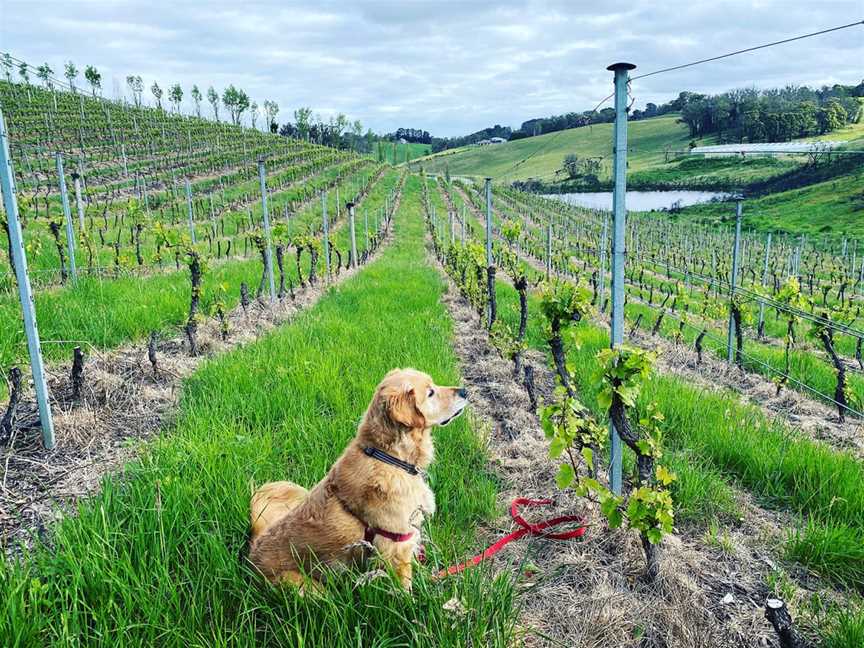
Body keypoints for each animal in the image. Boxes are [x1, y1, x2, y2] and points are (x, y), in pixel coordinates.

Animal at [246, 368, 470, 588]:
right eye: (430, 392)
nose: (465, 391)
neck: (389, 458)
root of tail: (252, 555)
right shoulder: (397, 546)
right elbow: (405, 588)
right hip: (305, 587)